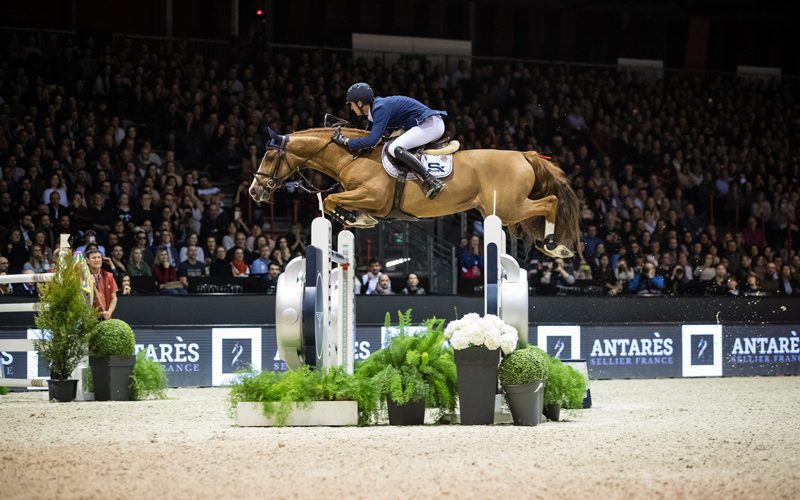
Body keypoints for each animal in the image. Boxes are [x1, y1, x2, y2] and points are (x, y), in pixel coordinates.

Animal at [249, 127, 580, 258]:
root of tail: (524, 154)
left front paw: (358, 219)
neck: (352, 156)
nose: (254, 191)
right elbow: (333, 202)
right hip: (500, 211)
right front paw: (359, 219)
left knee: (550, 202)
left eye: (269, 156)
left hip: (510, 207)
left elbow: (331, 200)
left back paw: (554, 245)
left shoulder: (372, 196)